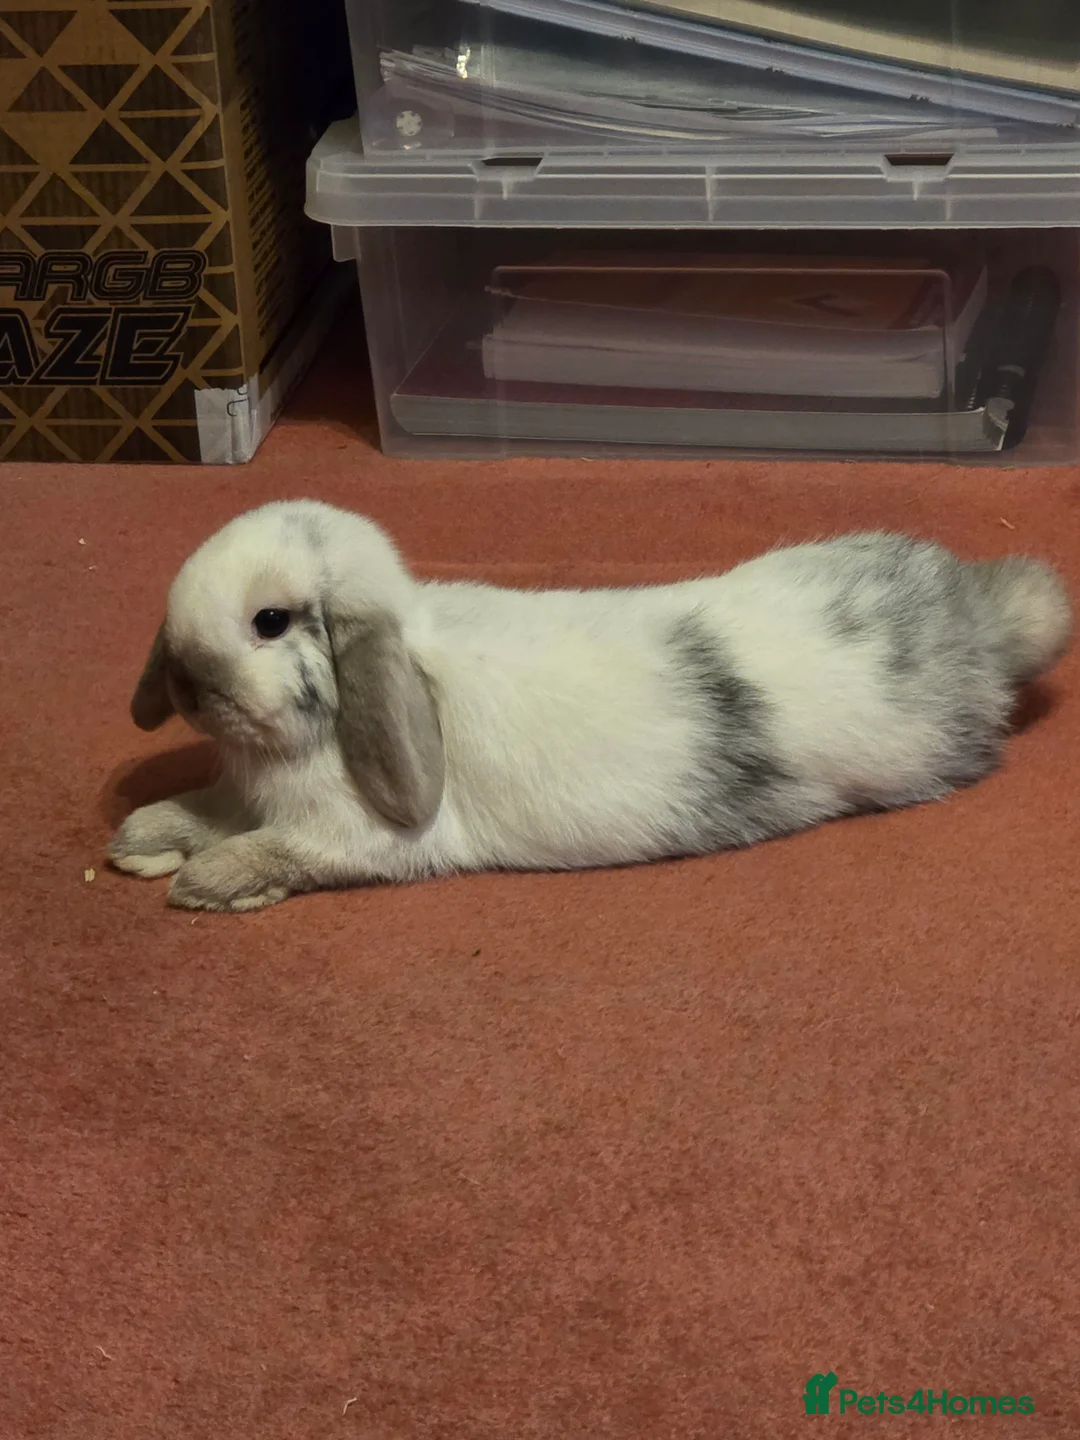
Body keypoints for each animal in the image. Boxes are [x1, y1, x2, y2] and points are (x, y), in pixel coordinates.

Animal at [108, 500, 1071, 912]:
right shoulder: (240, 793)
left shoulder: (356, 840)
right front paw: (140, 838)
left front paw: (206, 885)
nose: (185, 685)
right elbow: (202, 811)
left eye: (270, 621)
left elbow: (277, 851)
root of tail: (983, 619)